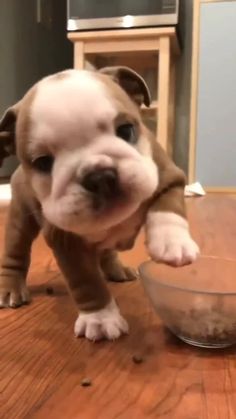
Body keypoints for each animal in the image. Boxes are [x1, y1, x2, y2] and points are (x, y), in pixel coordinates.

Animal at [0, 65, 199, 342]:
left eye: (126, 131)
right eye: (43, 162)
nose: (99, 175)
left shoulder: (170, 177)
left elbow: (169, 208)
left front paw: (172, 244)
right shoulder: (65, 241)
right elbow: (86, 282)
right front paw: (101, 318)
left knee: (107, 252)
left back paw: (117, 269)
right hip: (21, 220)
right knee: (15, 254)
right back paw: (11, 288)